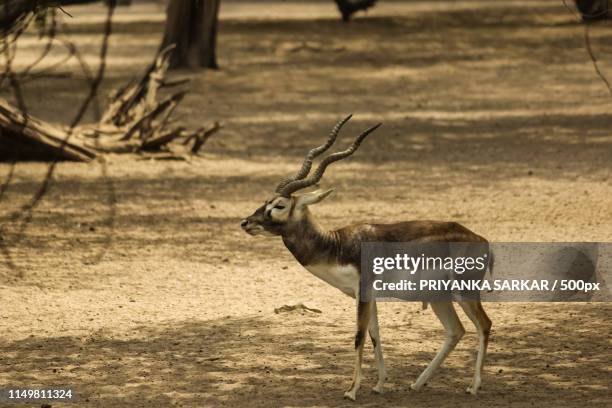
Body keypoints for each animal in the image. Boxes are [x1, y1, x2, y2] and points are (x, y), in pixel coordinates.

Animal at [239, 115, 492, 402]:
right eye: (266, 201)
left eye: (279, 205)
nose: (246, 222)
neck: (337, 244)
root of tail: (480, 239)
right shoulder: (368, 296)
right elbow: (374, 335)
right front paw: (379, 384)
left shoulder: (364, 292)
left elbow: (359, 336)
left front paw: (351, 390)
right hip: (440, 297)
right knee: (455, 330)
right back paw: (417, 383)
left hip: (465, 291)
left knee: (484, 324)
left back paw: (473, 386)